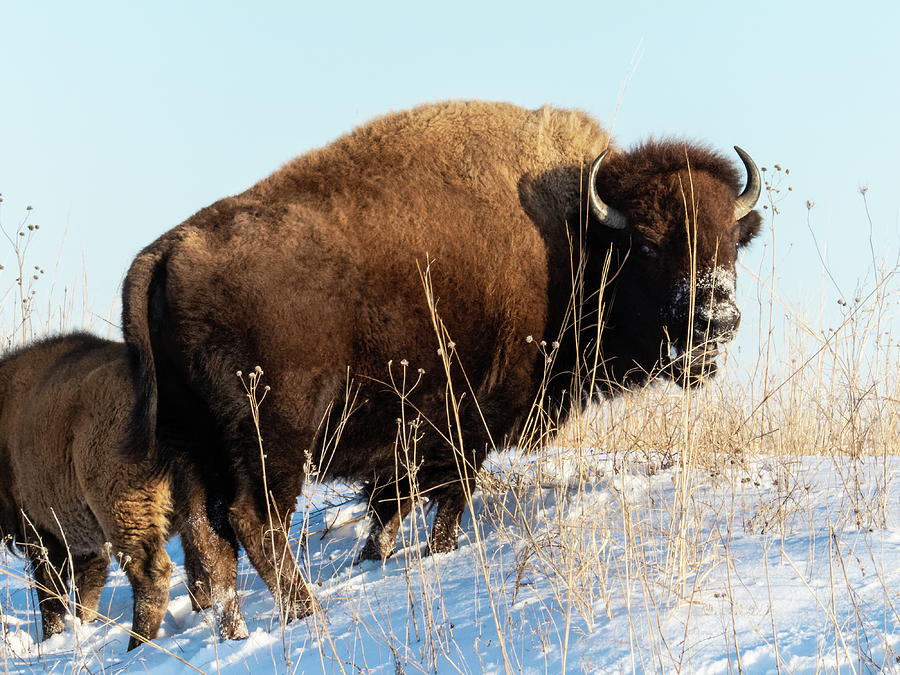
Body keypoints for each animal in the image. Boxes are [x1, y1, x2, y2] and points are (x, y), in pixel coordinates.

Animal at [0, 336, 250, 652]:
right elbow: (86, 590)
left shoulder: (41, 532)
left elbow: (51, 595)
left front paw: (52, 638)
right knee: (207, 559)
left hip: (123, 512)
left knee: (152, 576)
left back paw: (137, 645)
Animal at [123, 99, 764, 624]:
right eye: (650, 245)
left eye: (732, 242)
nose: (717, 317)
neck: (576, 238)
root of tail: (165, 252)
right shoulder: (464, 426)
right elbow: (447, 499)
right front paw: (436, 552)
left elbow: (389, 509)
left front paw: (375, 557)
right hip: (274, 434)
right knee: (253, 521)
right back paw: (307, 614)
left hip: (190, 443)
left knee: (205, 536)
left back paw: (229, 627)